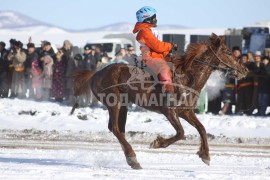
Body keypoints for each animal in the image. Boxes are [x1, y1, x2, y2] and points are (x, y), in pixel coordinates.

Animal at [70, 33, 248, 169]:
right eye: (228, 52)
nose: (244, 70)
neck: (187, 77)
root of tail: (96, 73)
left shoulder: (185, 111)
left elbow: (202, 129)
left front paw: (205, 155)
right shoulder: (169, 111)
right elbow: (181, 133)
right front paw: (157, 143)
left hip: (124, 105)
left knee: (119, 129)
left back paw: (131, 158)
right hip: (114, 102)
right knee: (114, 128)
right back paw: (133, 157)